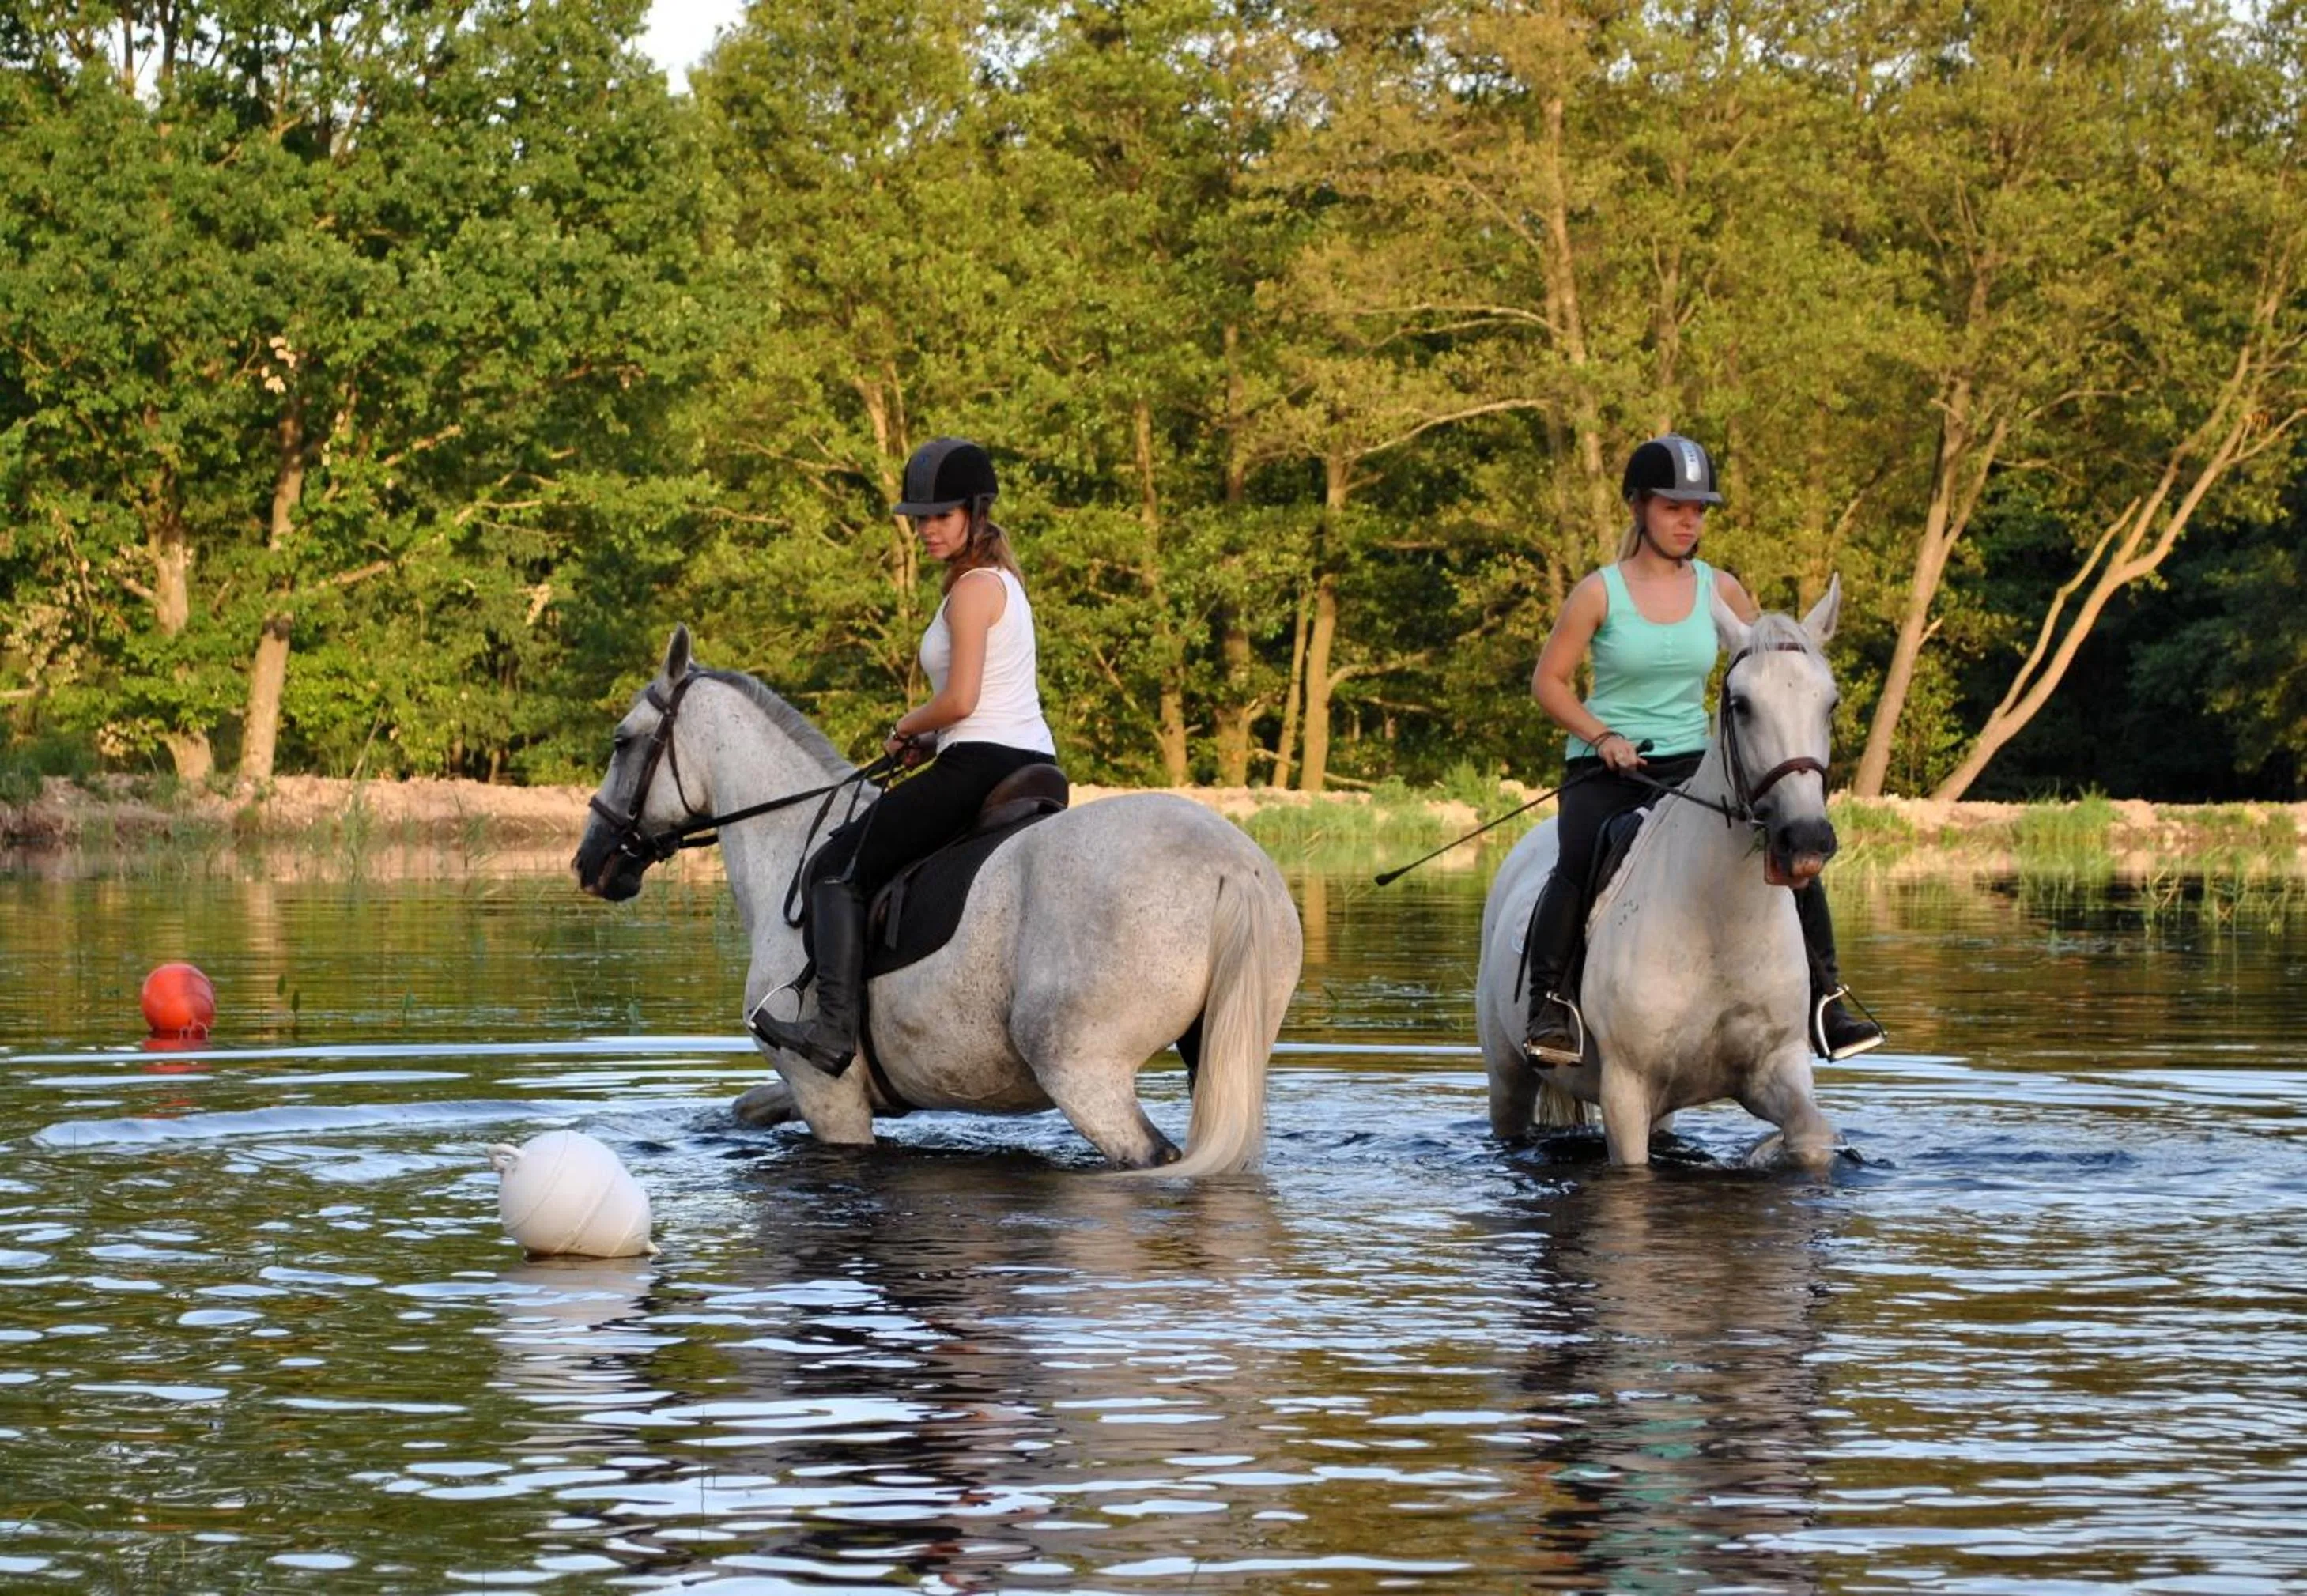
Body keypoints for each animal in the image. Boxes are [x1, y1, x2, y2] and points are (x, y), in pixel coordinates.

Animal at [571, 626, 1302, 1176]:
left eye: (622, 740)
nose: (591, 861)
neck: (790, 839)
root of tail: (1232, 865)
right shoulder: (823, 1091)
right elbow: (746, 1110)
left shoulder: (828, 1092)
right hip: (1215, 1057)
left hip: (1087, 1075)